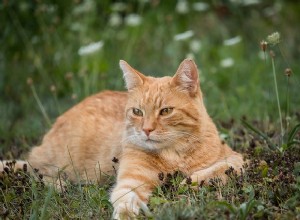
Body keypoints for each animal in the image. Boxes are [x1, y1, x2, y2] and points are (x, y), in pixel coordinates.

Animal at [0, 59, 244, 219]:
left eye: (166, 111)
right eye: (137, 112)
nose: (146, 130)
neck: (174, 154)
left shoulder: (237, 159)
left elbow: (218, 171)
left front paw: (190, 182)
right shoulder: (130, 183)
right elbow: (126, 201)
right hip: (55, 162)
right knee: (35, 171)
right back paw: (59, 185)